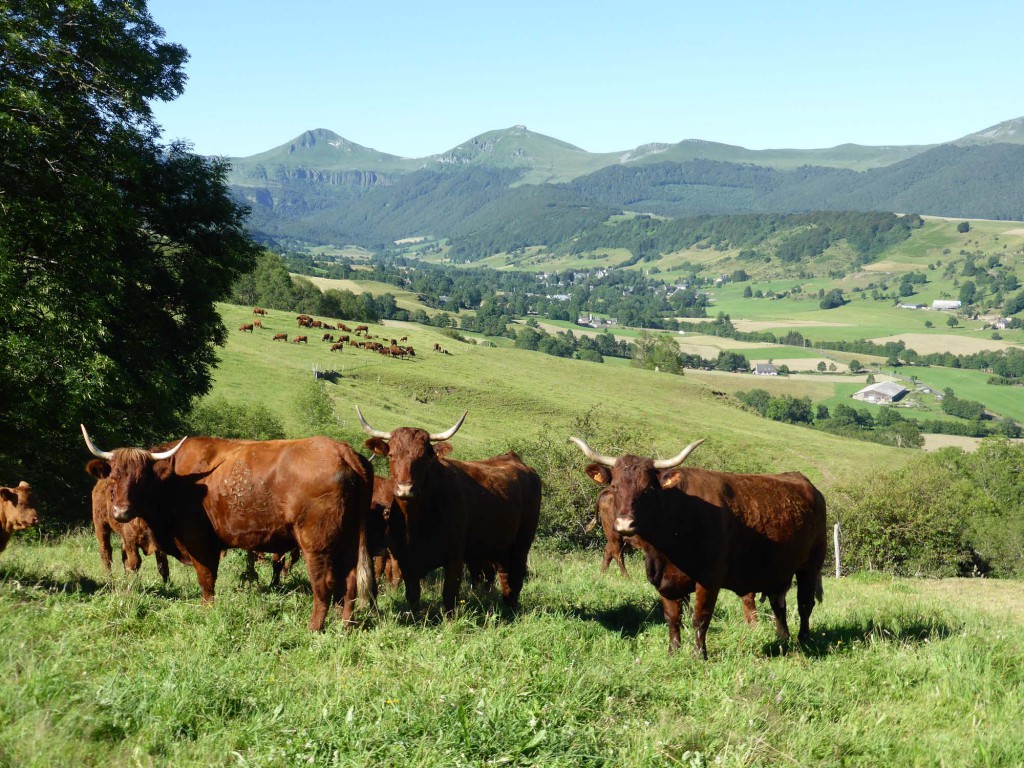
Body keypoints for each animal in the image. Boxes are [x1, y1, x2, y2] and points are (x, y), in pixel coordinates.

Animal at [80, 428, 376, 630]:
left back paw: (315, 628)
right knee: (350, 582)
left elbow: (206, 579)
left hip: (316, 543)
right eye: (113, 476)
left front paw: (206, 611)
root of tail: (344, 451)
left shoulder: (198, 540)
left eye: (141, 478)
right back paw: (345, 625)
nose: (120, 512)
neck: (177, 481)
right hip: (348, 539)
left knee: (324, 584)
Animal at [356, 409, 540, 614]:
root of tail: (515, 459)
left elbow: (449, 595)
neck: (417, 521)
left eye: (424, 457)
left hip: (521, 543)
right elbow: (412, 595)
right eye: (391, 455)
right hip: (498, 546)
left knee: (515, 575)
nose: (405, 489)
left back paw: (511, 609)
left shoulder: (455, 557)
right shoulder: (406, 559)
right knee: (502, 574)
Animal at [573, 438, 827, 663]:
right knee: (778, 603)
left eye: (647, 489)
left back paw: (803, 640)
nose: (625, 523)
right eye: (615, 486)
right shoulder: (663, 581)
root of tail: (806, 483)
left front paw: (698, 655)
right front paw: (673, 652)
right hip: (778, 569)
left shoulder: (709, 580)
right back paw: (783, 638)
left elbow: (700, 618)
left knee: (805, 604)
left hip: (811, 565)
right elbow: (672, 618)